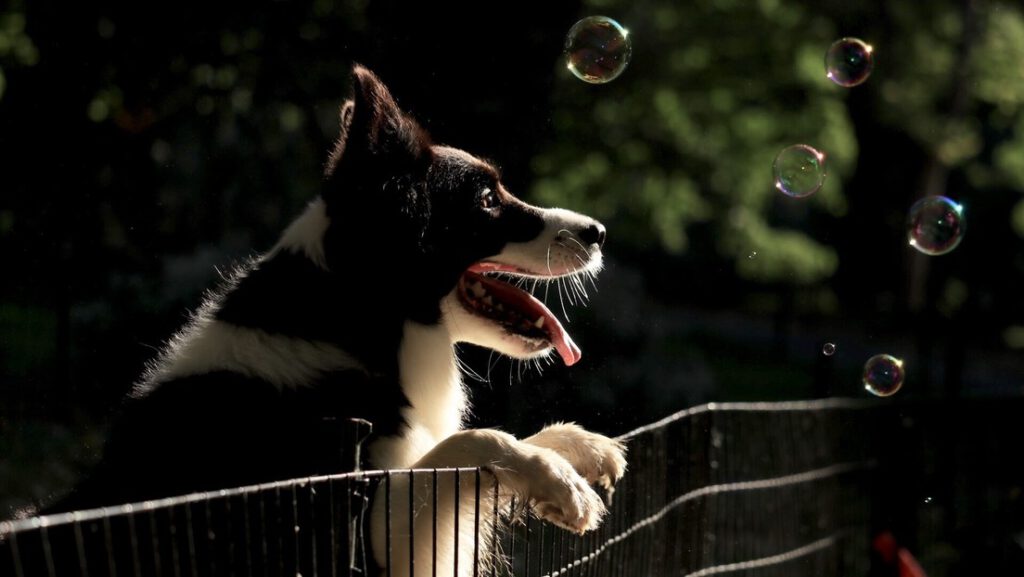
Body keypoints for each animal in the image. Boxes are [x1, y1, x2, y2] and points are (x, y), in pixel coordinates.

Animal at [46, 64, 622, 577]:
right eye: (485, 200)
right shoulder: (353, 531)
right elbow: (469, 442)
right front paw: (556, 479)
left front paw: (579, 447)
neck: (357, 319)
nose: (599, 232)